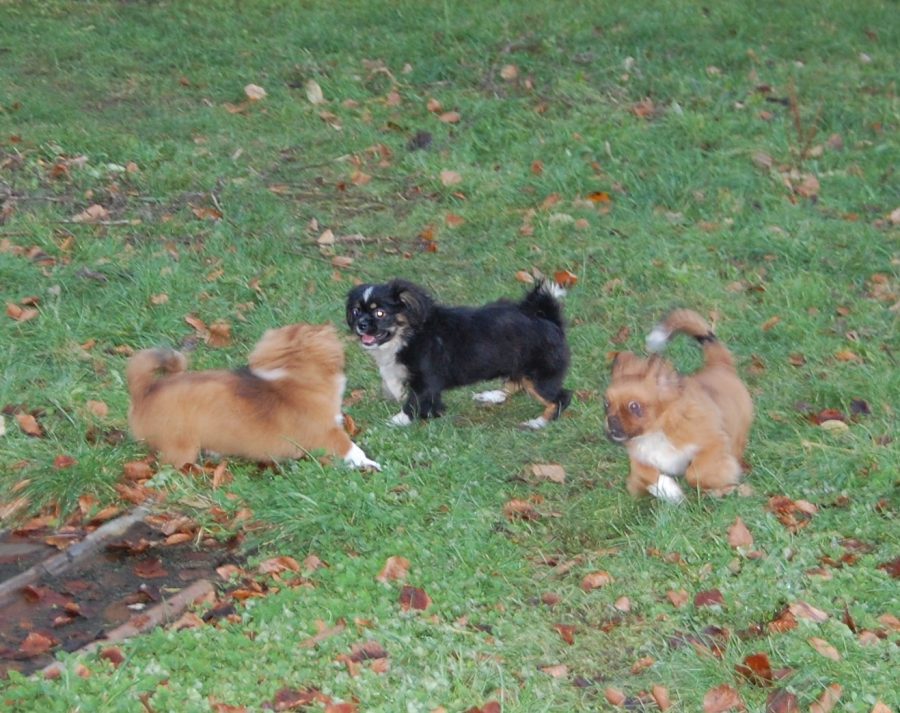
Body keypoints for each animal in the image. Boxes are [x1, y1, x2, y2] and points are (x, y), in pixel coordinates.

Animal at [127, 324, 380, 470]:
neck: (297, 376)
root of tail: (145, 391)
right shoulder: (328, 433)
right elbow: (351, 449)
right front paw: (369, 463)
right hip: (181, 446)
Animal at [604, 308, 752, 504]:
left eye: (634, 406)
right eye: (606, 405)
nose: (611, 420)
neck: (657, 432)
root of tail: (720, 365)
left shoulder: (714, 444)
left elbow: (695, 472)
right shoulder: (640, 460)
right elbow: (646, 474)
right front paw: (669, 491)